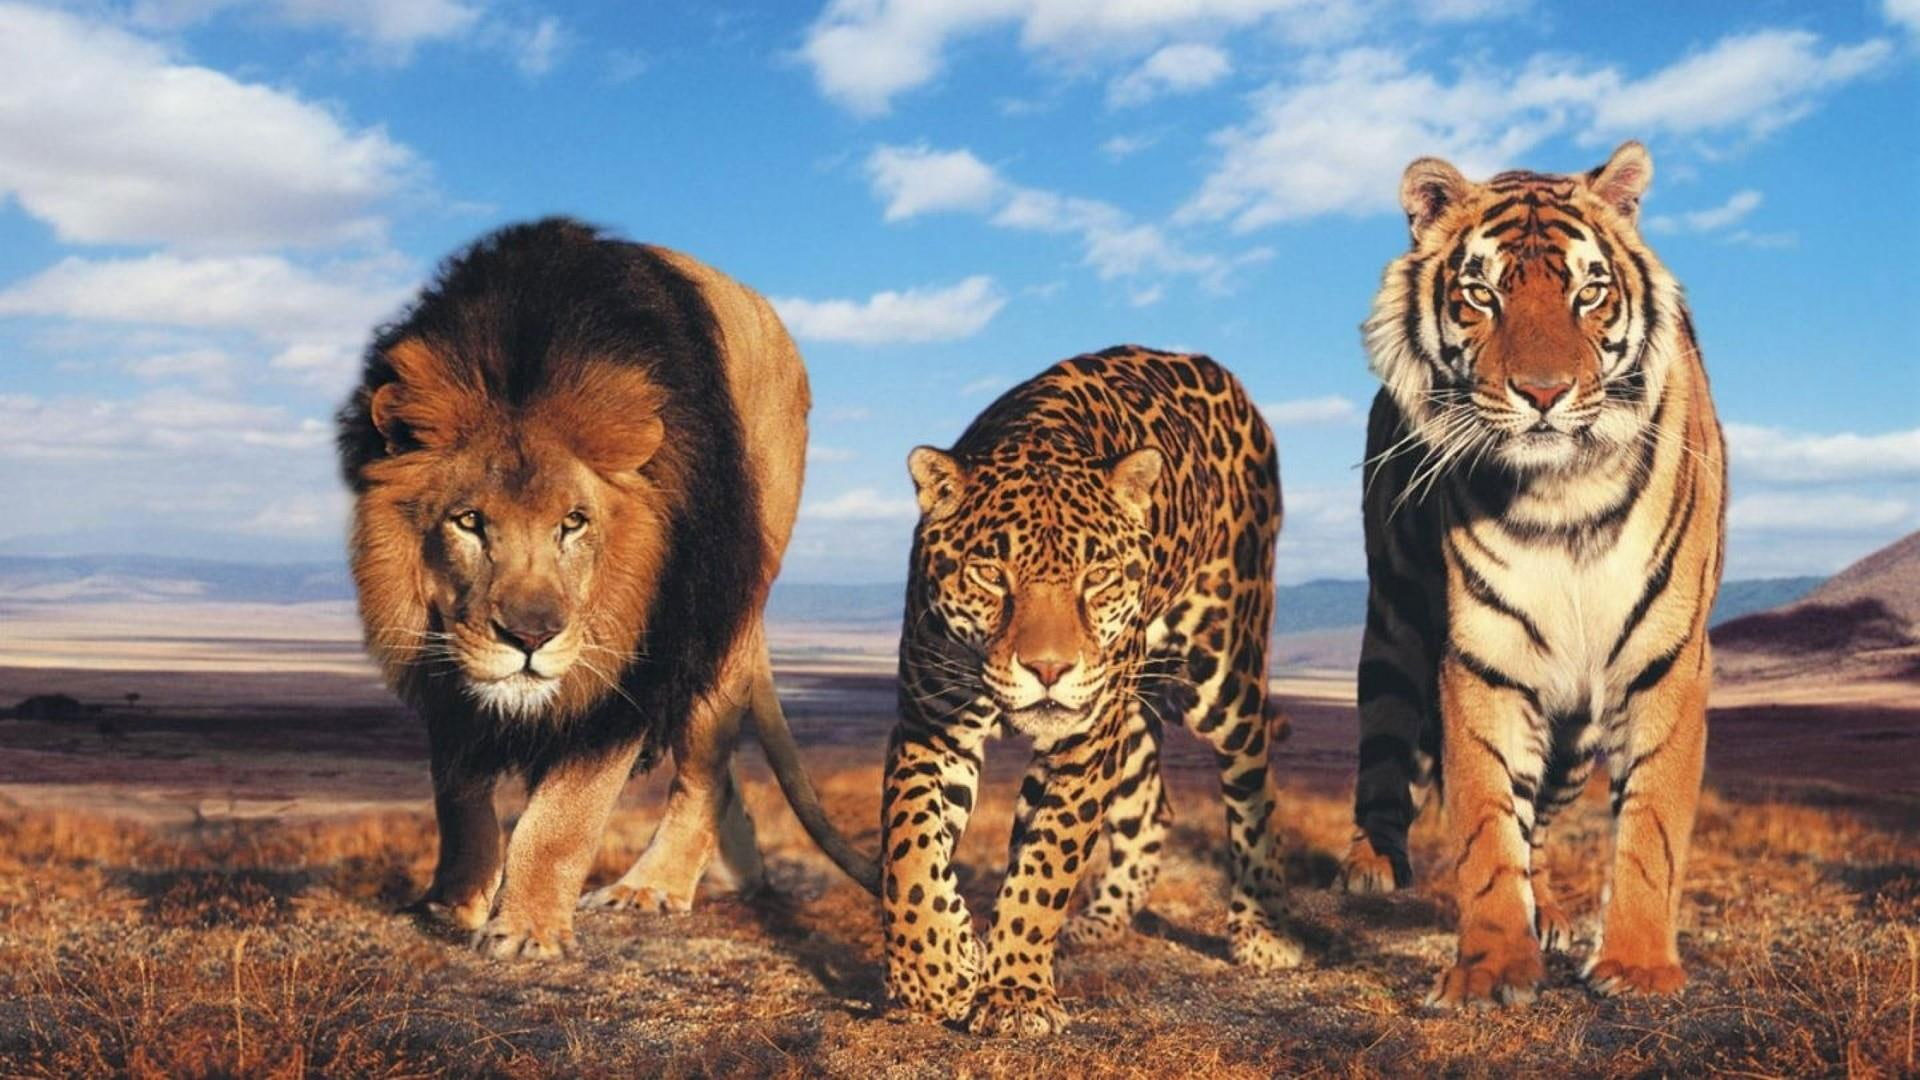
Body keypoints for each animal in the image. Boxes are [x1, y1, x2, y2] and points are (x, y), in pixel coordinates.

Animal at [336, 218, 878, 959]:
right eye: (469, 521)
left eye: (574, 522)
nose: (530, 637)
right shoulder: (446, 658)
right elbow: (459, 797)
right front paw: (455, 903)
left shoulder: (636, 657)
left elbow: (564, 816)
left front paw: (527, 930)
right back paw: (741, 873)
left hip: (733, 602)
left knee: (704, 770)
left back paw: (652, 886)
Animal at [881, 347, 1298, 1036]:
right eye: (991, 574)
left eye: (1097, 575)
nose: (1048, 669)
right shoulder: (931, 726)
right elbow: (910, 846)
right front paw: (935, 968)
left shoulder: (1083, 744)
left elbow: (1047, 863)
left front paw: (1015, 994)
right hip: (1129, 709)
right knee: (1151, 807)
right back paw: (1099, 922)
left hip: (1223, 670)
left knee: (1256, 778)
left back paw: (1260, 932)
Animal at [1337, 141, 1727, 1008]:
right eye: (1482, 294)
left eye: (1590, 292)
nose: (1544, 393)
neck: (1564, 495)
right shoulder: (1484, 657)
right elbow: (1487, 822)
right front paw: (1490, 970)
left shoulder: (1667, 658)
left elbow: (1650, 822)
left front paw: (1638, 966)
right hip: (1394, 624)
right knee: (1386, 742)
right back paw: (1370, 865)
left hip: (1576, 729)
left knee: (1543, 819)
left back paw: (1546, 909)